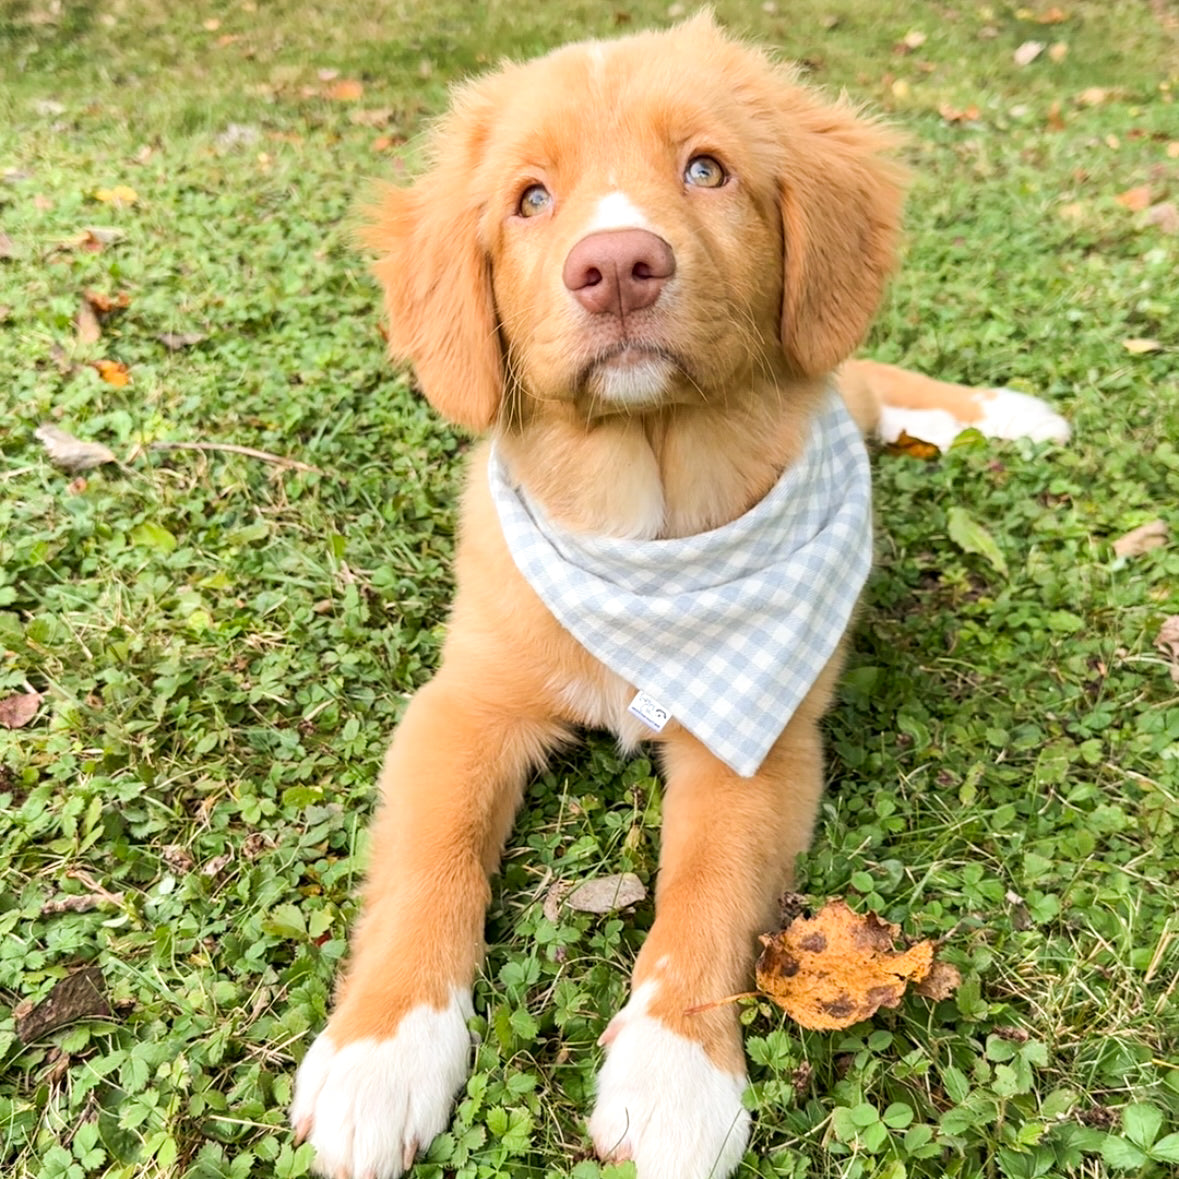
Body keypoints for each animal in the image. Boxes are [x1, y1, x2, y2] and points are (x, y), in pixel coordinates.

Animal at [292, 16, 1070, 1179]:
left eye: (707, 170)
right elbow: (431, 865)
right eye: (530, 197)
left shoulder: (758, 749)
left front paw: (674, 1076)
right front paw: (380, 1053)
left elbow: (706, 891)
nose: (617, 266)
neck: (649, 538)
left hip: (836, 377)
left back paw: (1008, 413)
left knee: (879, 380)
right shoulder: (462, 707)